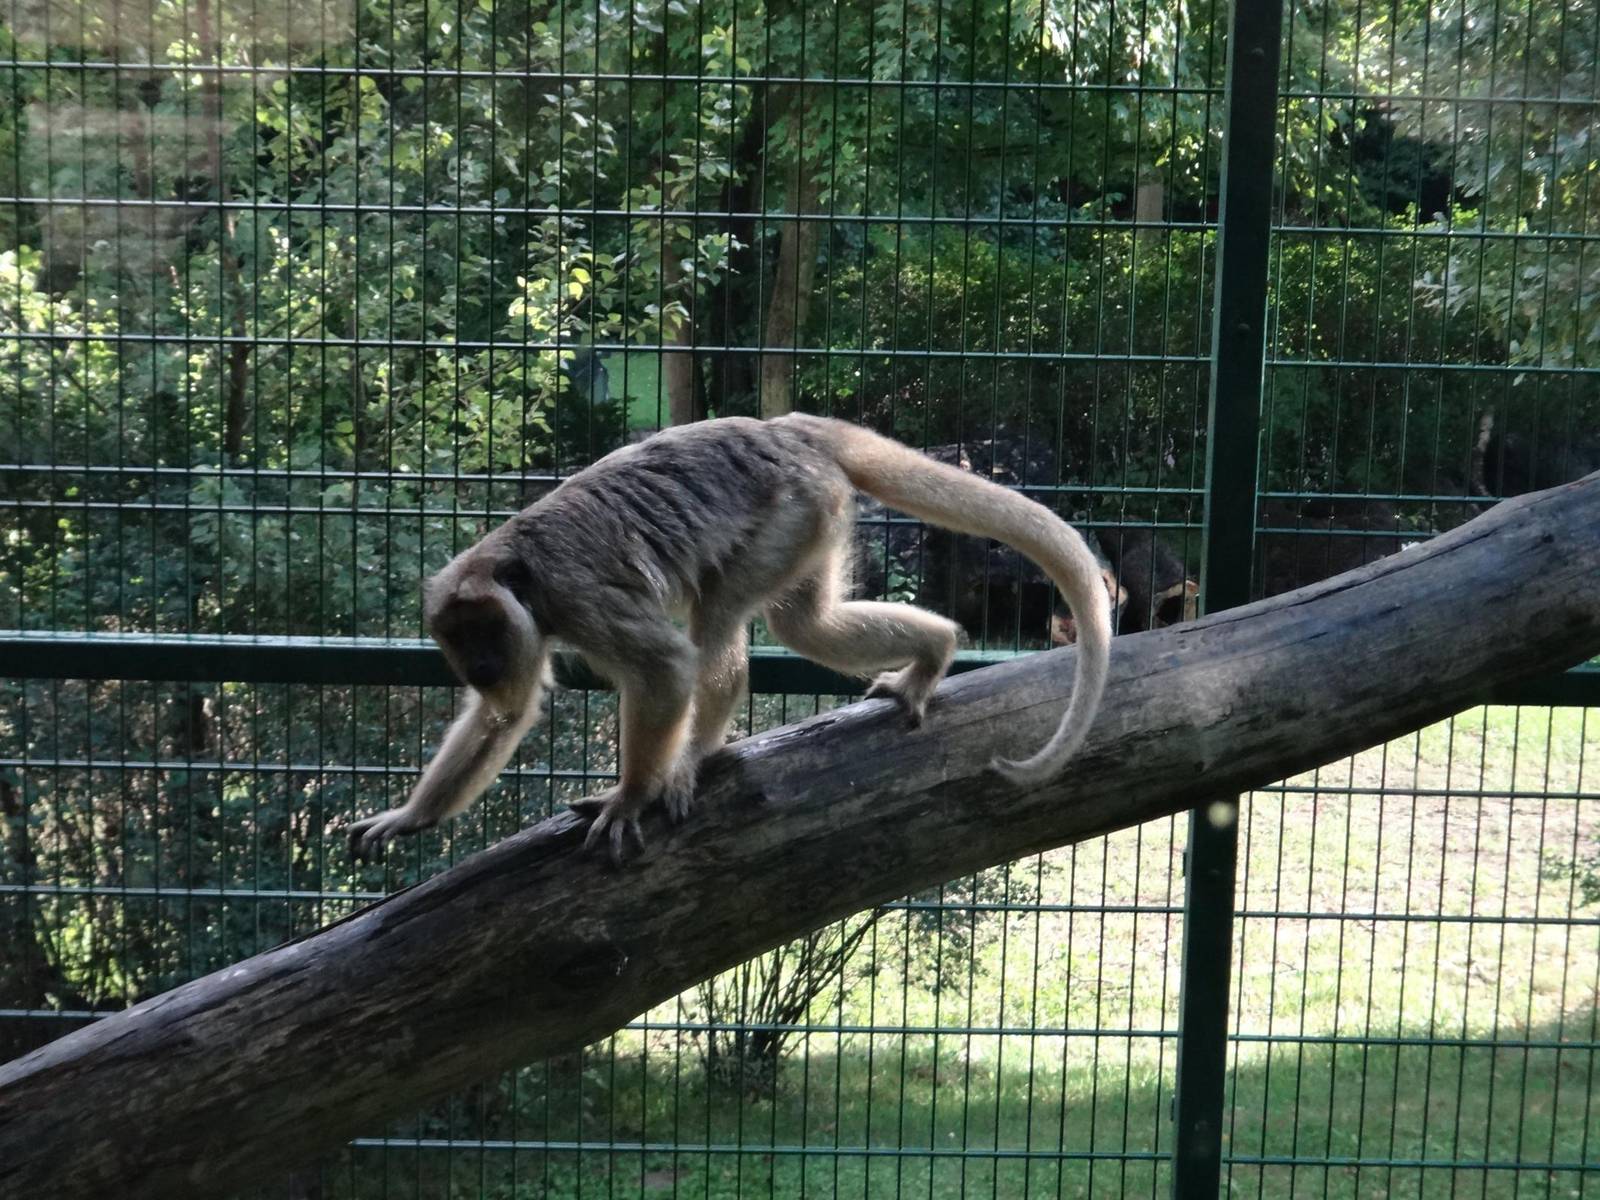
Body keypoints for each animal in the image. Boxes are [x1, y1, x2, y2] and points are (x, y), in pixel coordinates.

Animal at [345, 415, 1112, 864]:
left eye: (486, 631)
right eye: (457, 637)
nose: (478, 663)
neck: (519, 574)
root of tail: (790, 429)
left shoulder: (576, 600)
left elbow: (663, 668)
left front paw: (630, 796)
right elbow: (505, 712)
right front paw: (411, 816)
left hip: (790, 509)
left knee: (720, 623)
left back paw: (693, 757)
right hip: (816, 517)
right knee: (807, 623)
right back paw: (935, 651)